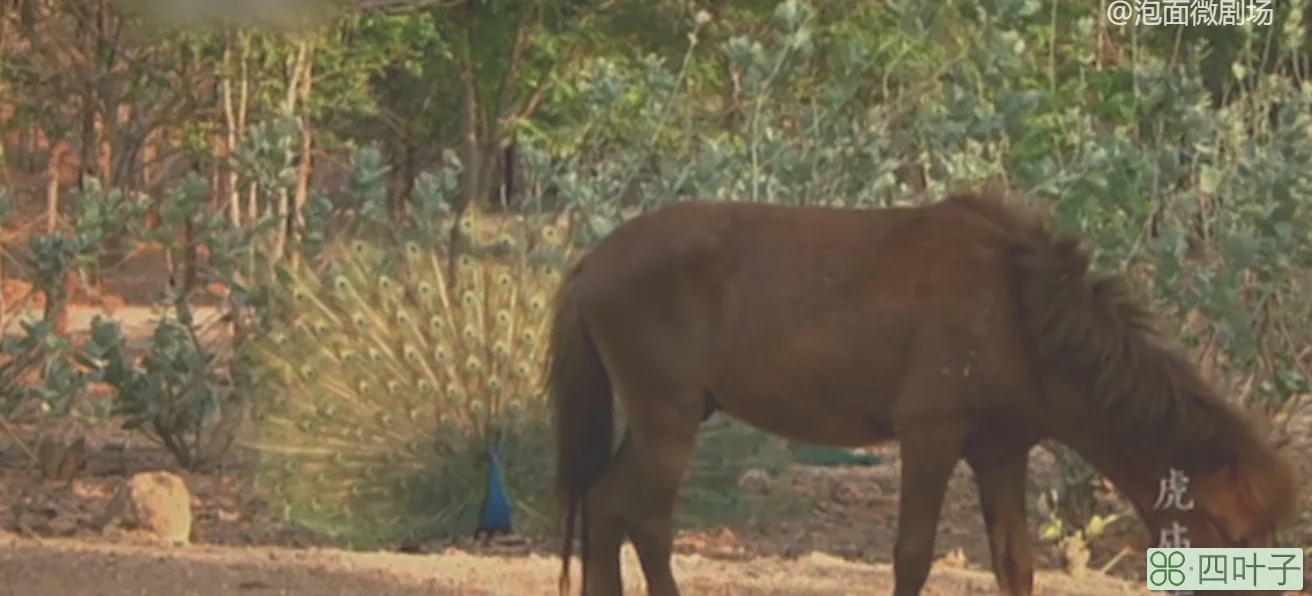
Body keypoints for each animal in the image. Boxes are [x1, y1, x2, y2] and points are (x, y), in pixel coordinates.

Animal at [545, 191, 1301, 596]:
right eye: (1231, 533)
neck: (1018, 310)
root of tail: (591, 262)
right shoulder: (930, 435)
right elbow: (913, 554)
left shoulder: (1001, 453)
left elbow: (1015, 563)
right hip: (667, 423)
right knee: (642, 521)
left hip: (656, 422)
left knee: (605, 509)